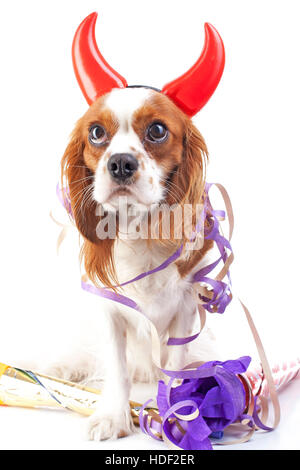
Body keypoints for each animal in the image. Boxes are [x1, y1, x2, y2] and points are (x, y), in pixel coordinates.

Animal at [46, 13, 225, 440]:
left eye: (157, 130)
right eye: (96, 132)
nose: (121, 163)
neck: (138, 229)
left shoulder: (186, 307)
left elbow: (174, 368)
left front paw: (177, 413)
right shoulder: (107, 309)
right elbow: (115, 366)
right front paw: (113, 416)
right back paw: (66, 366)